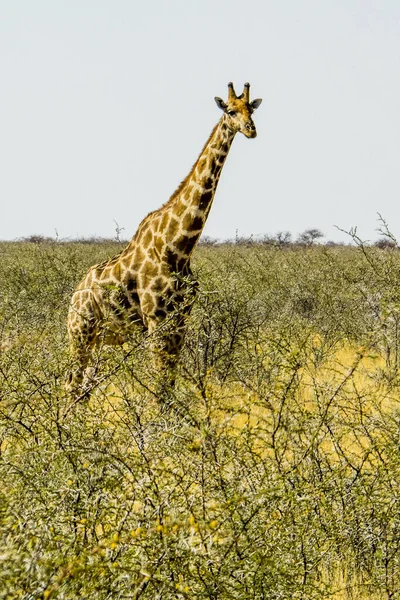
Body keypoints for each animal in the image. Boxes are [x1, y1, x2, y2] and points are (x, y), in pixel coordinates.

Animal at [66, 82, 262, 396]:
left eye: (251, 110)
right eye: (230, 110)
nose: (251, 129)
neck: (179, 247)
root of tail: (75, 295)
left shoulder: (180, 320)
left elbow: (168, 385)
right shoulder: (156, 320)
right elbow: (159, 388)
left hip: (102, 339)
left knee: (83, 389)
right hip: (80, 332)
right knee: (71, 384)